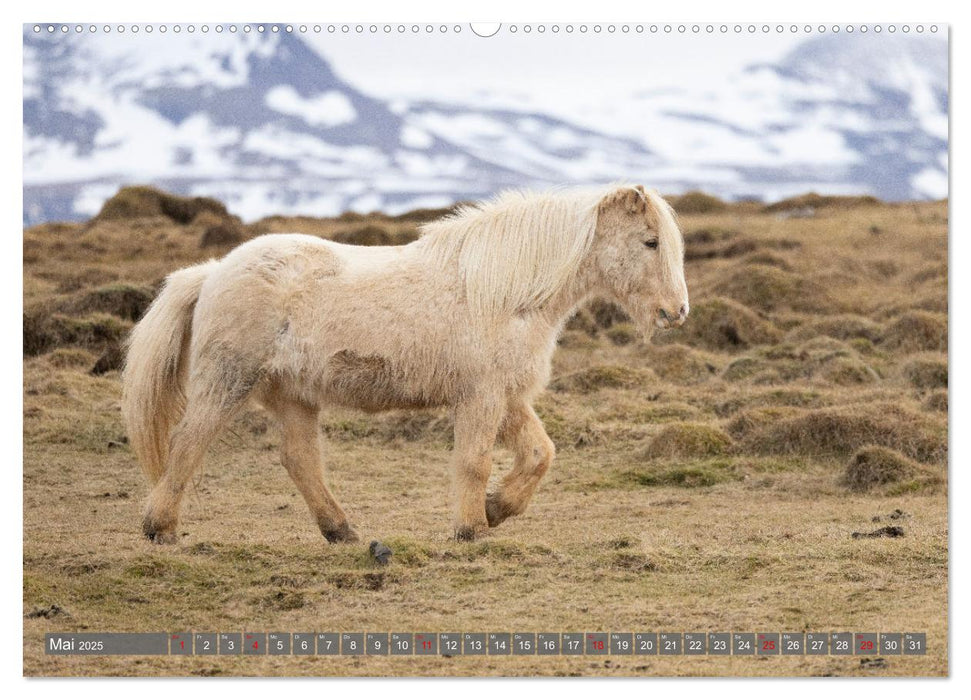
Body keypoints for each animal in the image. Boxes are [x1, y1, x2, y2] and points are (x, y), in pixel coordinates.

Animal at [121, 183, 688, 544]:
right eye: (650, 241)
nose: (676, 312)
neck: (507, 291)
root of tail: (213, 271)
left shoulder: (508, 396)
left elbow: (539, 454)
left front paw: (496, 509)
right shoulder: (482, 395)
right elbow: (475, 461)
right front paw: (470, 529)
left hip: (295, 397)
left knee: (300, 460)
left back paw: (342, 531)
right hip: (227, 382)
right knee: (188, 443)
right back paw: (160, 528)